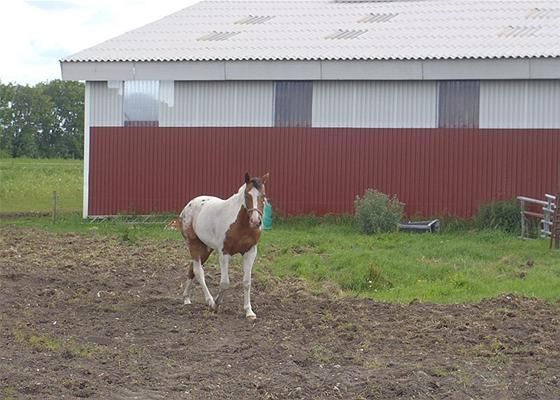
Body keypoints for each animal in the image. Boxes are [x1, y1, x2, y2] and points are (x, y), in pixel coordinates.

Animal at [176, 172, 269, 319]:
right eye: (247, 195)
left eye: (263, 195)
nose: (255, 221)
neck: (240, 225)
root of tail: (189, 205)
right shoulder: (224, 253)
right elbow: (225, 283)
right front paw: (216, 303)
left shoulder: (250, 252)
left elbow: (247, 282)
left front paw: (249, 312)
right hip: (194, 245)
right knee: (198, 271)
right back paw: (209, 301)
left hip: (206, 249)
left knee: (192, 270)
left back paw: (186, 298)